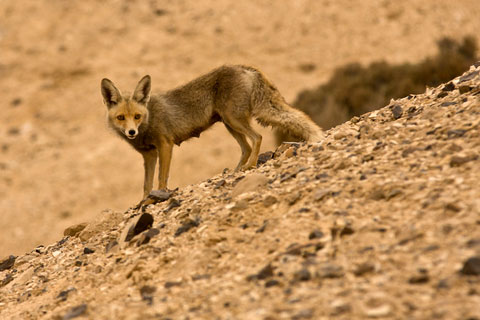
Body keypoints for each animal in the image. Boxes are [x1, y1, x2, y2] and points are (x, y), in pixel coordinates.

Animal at [101, 64, 324, 199]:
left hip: (234, 120)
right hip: (229, 124)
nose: (131, 132)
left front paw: (161, 193)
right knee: (246, 147)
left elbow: (162, 177)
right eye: (121, 118)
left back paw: (250, 166)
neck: (149, 120)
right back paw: (236, 170)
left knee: (257, 137)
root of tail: (243, 67)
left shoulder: (165, 145)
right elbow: (146, 185)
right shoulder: (149, 154)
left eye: (137, 116)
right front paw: (144, 202)